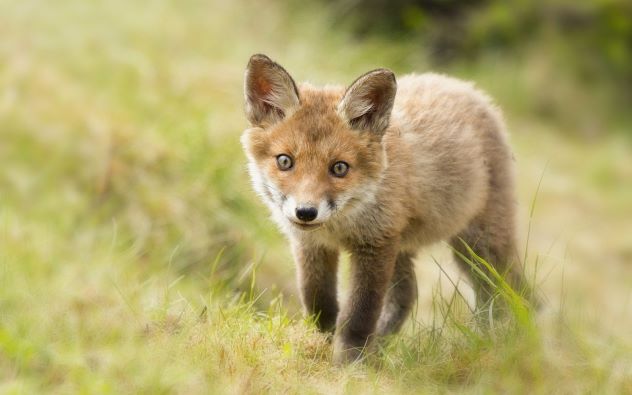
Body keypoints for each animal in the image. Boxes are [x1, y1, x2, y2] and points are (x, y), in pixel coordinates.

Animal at [242, 55, 532, 366]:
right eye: (285, 161)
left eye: (339, 168)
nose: (306, 212)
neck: (341, 225)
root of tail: (464, 86)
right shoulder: (312, 245)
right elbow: (319, 301)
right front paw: (322, 344)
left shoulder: (375, 244)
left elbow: (359, 314)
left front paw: (349, 363)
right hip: (407, 247)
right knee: (409, 294)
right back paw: (381, 346)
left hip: (480, 246)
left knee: (506, 291)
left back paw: (503, 339)